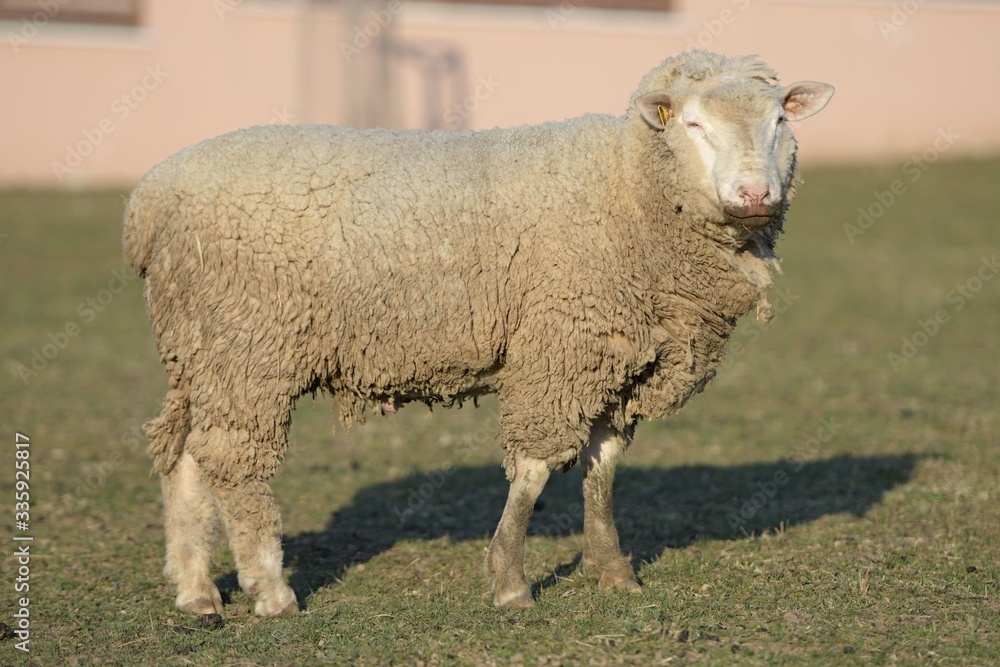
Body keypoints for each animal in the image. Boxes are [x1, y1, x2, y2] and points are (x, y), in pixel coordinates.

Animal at [121, 49, 832, 620]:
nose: (755, 193)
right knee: (233, 463)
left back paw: (197, 593)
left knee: (185, 455)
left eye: (780, 122)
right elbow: (536, 469)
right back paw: (270, 592)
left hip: (203, 349)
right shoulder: (559, 347)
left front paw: (613, 572)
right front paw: (510, 582)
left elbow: (602, 467)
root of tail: (148, 202)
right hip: (249, 345)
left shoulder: (619, 358)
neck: (628, 188)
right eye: (694, 125)